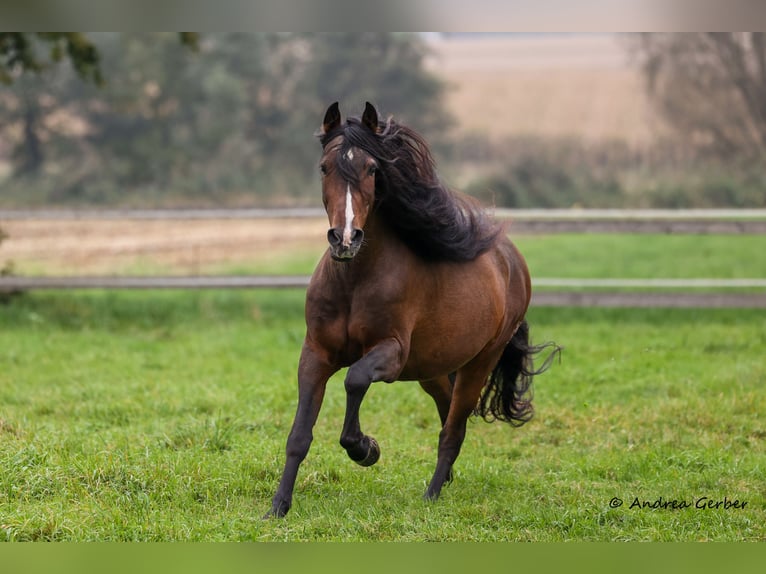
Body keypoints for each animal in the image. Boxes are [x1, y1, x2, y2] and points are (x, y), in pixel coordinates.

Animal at [265, 102, 559, 518]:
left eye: (373, 169)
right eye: (324, 167)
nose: (345, 238)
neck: (355, 281)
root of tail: (511, 260)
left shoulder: (391, 353)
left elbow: (355, 379)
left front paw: (365, 449)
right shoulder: (316, 354)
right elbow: (299, 434)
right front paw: (278, 506)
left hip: (479, 361)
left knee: (454, 428)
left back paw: (432, 495)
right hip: (431, 368)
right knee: (447, 409)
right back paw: (445, 480)